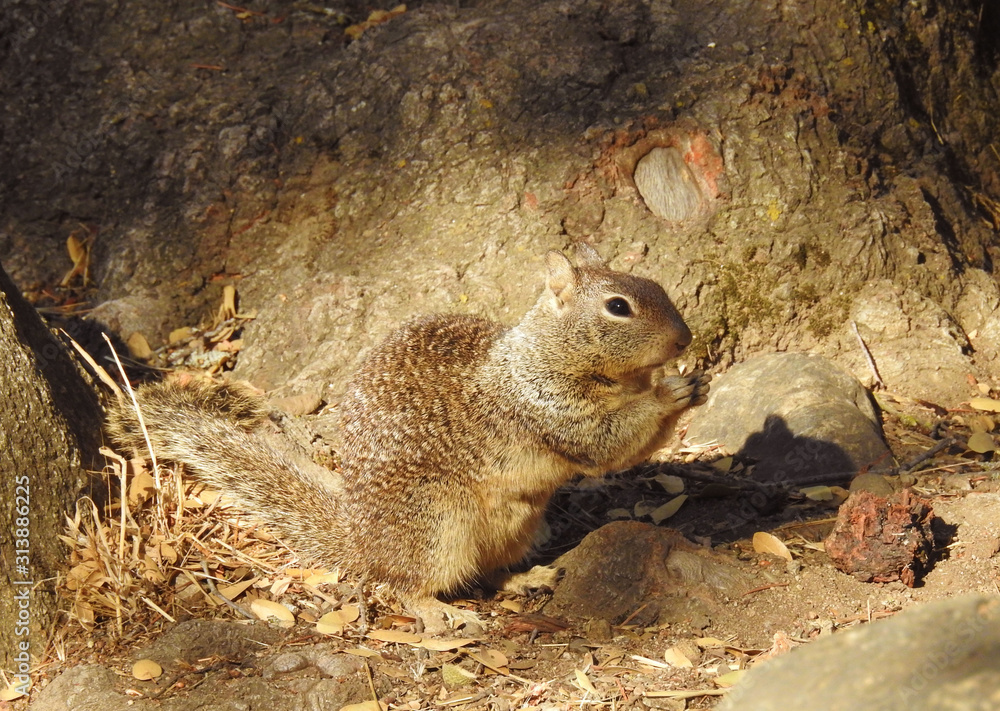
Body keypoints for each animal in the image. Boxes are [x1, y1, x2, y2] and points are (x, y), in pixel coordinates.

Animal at [106, 244, 710, 633]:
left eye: (657, 287)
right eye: (618, 306)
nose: (685, 338)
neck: (544, 351)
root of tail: (360, 537)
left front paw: (689, 382)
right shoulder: (545, 404)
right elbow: (607, 444)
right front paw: (672, 391)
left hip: (513, 524)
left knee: (487, 570)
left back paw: (525, 578)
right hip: (434, 523)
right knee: (406, 584)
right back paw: (438, 611)